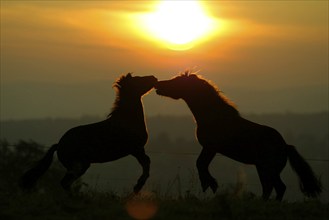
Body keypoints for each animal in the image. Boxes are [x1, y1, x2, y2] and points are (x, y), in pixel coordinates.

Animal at [19, 73, 158, 193]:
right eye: (138, 79)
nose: (154, 78)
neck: (127, 120)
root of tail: (59, 145)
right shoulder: (135, 149)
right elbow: (146, 162)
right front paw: (137, 187)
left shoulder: (138, 149)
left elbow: (147, 162)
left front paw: (138, 187)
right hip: (79, 165)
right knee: (65, 182)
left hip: (80, 166)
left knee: (66, 182)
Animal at [154, 71, 320, 200]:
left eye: (176, 81)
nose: (157, 85)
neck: (213, 117)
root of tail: (285, 146)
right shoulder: (209, 148)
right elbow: (201, 164)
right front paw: (210, 184)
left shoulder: (210, 148)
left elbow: (200, 164)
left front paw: (210, 184)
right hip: (262, 169)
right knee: (269, 187)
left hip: (268, 169)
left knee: (279, 187)